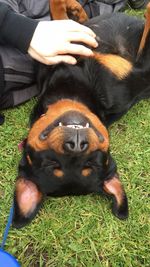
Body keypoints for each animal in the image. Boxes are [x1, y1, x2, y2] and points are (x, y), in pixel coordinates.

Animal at [12, 1, 150, 229]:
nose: (76, 145)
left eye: (91, 164)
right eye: (52, 164)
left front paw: (75, 11)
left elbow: (59, 19)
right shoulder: (142, 71)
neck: (73, 92)